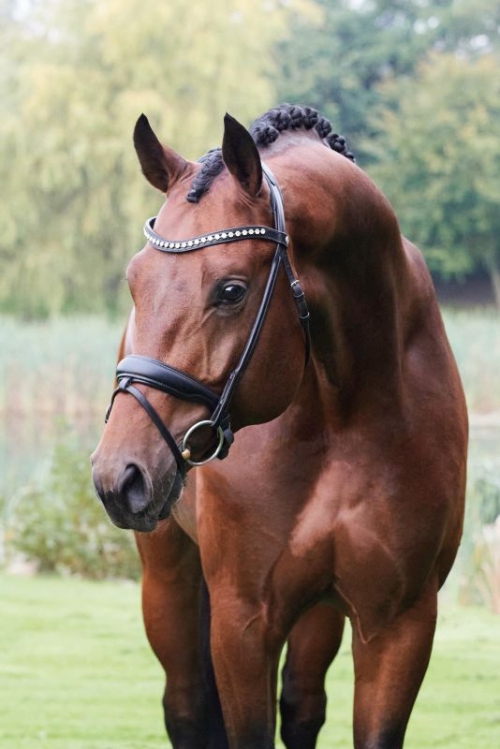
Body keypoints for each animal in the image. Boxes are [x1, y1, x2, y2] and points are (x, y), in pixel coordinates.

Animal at [91, 104, 468, 749]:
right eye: (134, 282)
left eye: (231, 290)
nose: (121, 475)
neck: (345, 415)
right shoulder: (243, 621)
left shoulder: (400, 623)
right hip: (166, 575)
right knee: (185, 706)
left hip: (317, 612)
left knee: (303, 706)